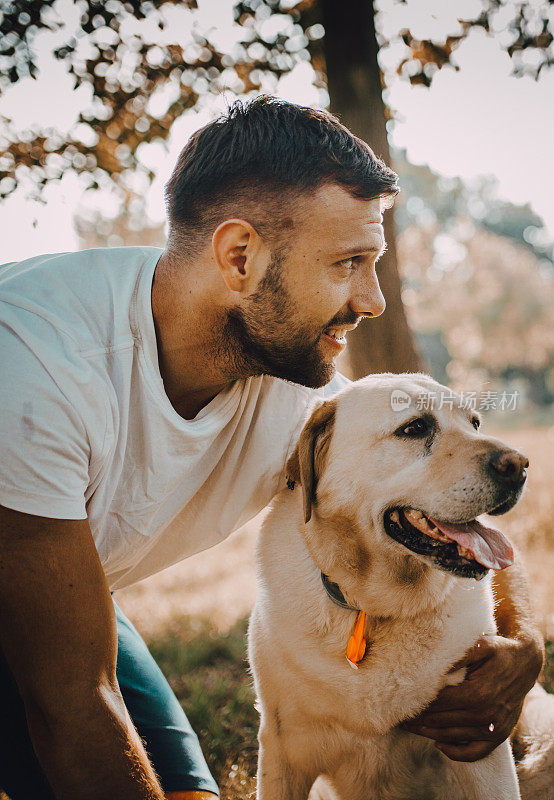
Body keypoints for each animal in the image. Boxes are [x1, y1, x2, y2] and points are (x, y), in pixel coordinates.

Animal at [248, 376, 548, 800]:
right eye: (415, 427)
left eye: (474, 423)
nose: (519, 465)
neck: (375, 607)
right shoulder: (283, 752)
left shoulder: (481, 748)